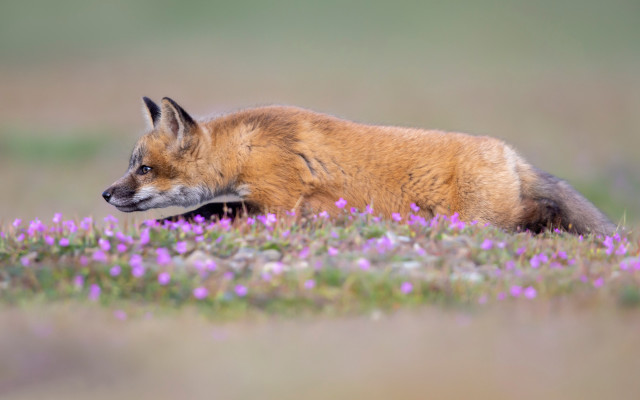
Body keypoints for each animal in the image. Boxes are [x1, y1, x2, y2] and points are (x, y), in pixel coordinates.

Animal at [102, 97, 616, 236]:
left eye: (143, 170)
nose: (106, 194)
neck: (247, 148)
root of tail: (509, 151)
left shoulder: (277, 205)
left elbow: (204, 210)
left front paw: (165, 227)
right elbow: (207, 209)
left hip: (479, 219)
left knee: (542, 216)